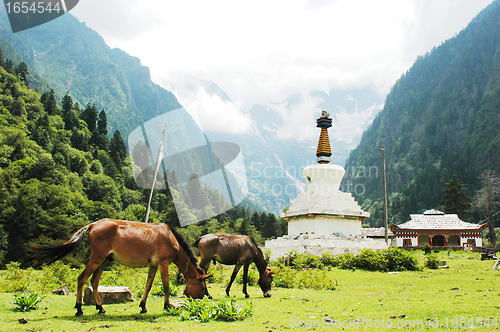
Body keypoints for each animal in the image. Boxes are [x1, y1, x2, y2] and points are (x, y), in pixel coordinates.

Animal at [31, 218, 209, 316]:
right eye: (202, 286)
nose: (204, 298)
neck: (170, 238)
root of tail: (93, 224)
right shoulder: (163, 263)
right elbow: (165, 285)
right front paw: (167, 306)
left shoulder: (153, 265)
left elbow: (148, 285)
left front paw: (143, 306)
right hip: (97, 259)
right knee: (82, 278)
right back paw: (79, 309)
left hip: (103, 261)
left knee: (94, 281)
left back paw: (100, 308)